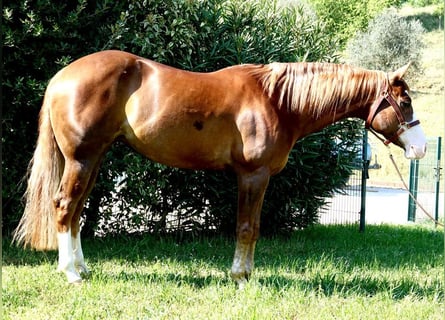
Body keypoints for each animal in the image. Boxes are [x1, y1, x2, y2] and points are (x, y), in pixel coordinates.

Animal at [13, 50, 424, 284]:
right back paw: (70, 274)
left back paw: (81, 268)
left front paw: (243, 275)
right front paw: (242, 278)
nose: (420, 148)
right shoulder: (253, 175)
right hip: (81, 158)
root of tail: (61, 78)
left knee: (77, 211)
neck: (278, 101)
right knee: (65, 207)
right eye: (404, 102)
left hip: (93, 159)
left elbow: (250, 227)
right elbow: (247, 228)